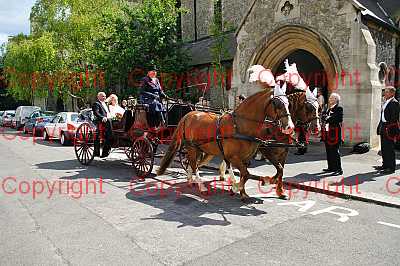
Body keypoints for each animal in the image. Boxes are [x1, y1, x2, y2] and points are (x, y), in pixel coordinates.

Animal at [158, 88, 296, 201]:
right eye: (277, 104)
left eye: (288, 104)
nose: (290, 127)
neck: (239, 125)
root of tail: (188, 115)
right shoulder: (233, 157)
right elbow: (247, 174)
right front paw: (237, 188)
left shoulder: (244, 157)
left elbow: (246, 174)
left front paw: (243, 192)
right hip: (192, 147)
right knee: (194, 165)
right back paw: (201, 186)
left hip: (200, 149)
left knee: (192, 163)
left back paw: (190, 179)